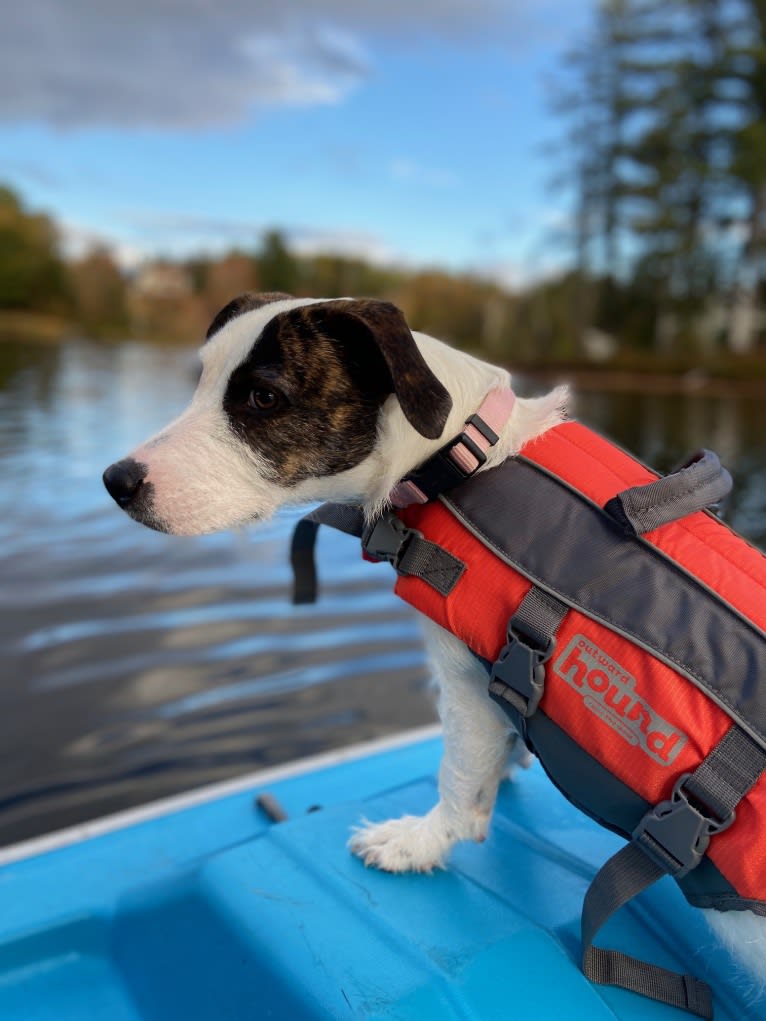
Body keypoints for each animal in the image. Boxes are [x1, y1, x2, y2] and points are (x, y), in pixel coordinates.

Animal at [103, 294, 766, 996]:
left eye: (263, 396)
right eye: (200, 380)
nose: (116, 480)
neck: (459, 457)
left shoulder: (468, 683)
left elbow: (459, 779)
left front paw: (417, 843)